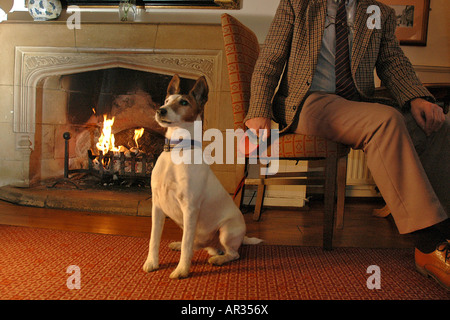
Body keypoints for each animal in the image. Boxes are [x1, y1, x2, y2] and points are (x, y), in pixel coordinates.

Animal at [142, 74, 262, 278]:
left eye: (184, 102)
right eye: (166, 101)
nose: (160, 110)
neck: (176, 151)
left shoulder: (190, 208)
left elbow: (186, 245)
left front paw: (182, 270)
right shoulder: (157, 207)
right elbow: (153, 240)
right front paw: (152, 263)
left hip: (226, 231)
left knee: (233, 253)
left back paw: (219, 259)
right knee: (197, 245)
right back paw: (181, 245)